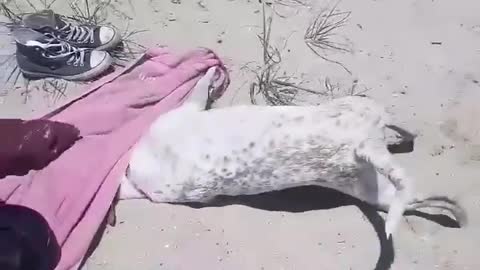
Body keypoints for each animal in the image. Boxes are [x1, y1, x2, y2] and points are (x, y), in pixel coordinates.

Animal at [118, 67, 466, 238]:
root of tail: (360, 145)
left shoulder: (184, 112)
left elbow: (199, 87)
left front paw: (211, 74)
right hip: (372, 185)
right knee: (414, 190)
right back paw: (459, 212)